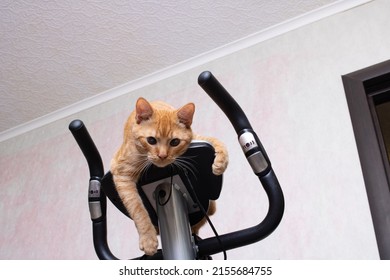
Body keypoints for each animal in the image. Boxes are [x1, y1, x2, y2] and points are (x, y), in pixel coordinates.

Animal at [110, 97, 229, 256]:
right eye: (151, 140)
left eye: (175, 142)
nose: (162, 155)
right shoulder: (121, 172)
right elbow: (138, 209)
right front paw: (148, 239)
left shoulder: (196, 137)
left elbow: (214, 140)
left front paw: (221, 162)